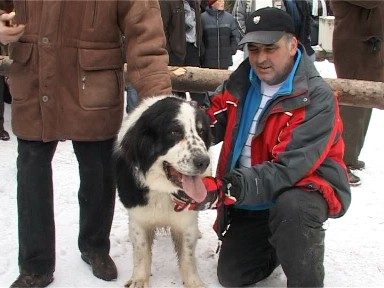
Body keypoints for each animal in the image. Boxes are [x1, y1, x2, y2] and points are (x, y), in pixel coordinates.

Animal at [115, 96, 213, 288]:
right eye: (174, 132)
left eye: (201, 131)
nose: (204, 162)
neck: (162, 189)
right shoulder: (138, 217)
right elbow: (142, 251)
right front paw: (139, 279)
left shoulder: (187, 221)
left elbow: (188, 255)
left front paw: (194, 282)